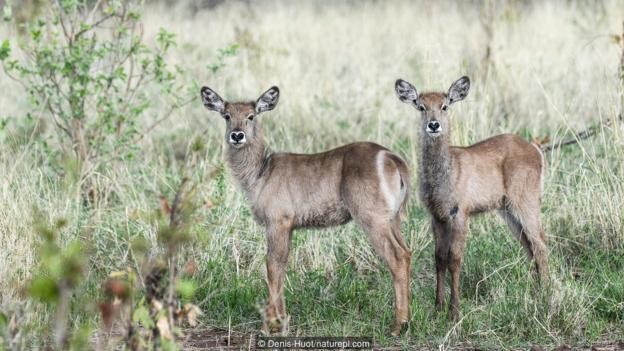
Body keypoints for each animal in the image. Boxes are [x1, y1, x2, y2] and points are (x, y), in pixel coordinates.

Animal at [200, 84, 412, 336]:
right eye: (227, 115)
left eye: (251, 116)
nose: (237, 135)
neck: (260, 174)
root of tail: (393, 159)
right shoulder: (289, 227)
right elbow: (282, 265)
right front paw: (282, 319)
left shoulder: (278, 222)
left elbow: (272, 265)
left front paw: (269, 325)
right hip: (393, 219)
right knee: (407, 252)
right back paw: (407, 320)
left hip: (373, 218)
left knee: (396, 257)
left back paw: (397, 326)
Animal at [398, 77, 548, 322]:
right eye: (421, 106)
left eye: (444, 106)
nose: (433, 125)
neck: (445, 174)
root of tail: (535, 149)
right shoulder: (437, 217)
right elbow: (439, 258)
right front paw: (437, 308)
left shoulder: (460, 214)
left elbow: (455, 259)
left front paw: (454, 311)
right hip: (508, 212)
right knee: (530, 246)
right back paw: (536, 292)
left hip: (526, 203)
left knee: (541, 245)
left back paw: (547, 294)